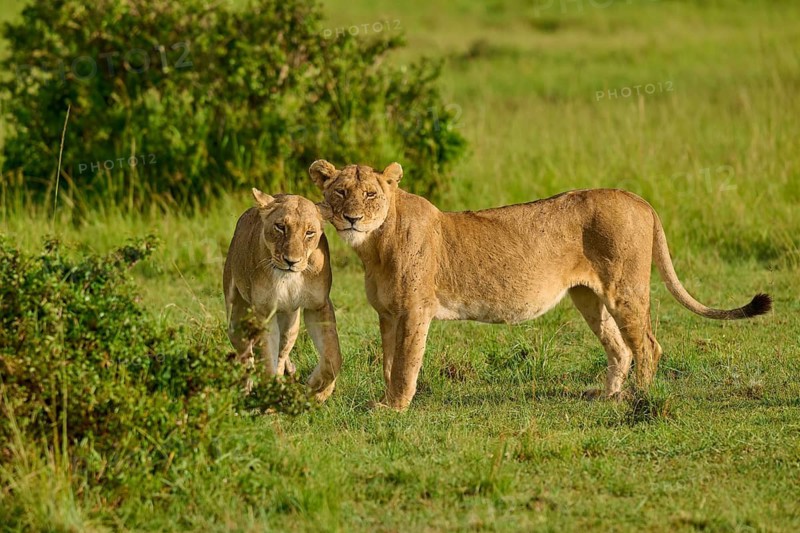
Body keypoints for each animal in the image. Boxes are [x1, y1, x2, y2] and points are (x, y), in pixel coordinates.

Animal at [223, 189, 341, 401]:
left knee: (281, 353)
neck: (289, 278)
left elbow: (332, 356)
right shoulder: (264, 312)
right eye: (280, 227)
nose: (291, 261)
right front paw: (269, 396)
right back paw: (246, 388)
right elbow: (265, 360)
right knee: (246, 355)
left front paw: (317, 389)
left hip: (290, 325)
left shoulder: (318, 306)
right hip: (235, 320)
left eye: (309, 232)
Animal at [309, 159, 772, 411]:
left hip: (625, 289)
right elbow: (389, 363)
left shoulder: (414, 311)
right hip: (588, 297)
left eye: (370, 194)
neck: (374, 245)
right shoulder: (388, 314)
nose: (351, 218)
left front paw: (395, 408)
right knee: (619, 347)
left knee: (647, 345)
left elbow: (406, 364)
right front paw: (387, 401)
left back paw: (638, 400)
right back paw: (608, 397)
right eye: (340, 192)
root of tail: (638, 199)